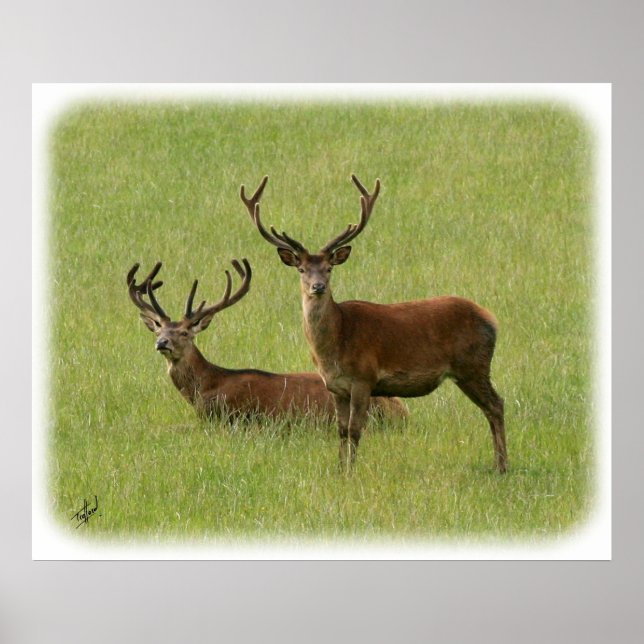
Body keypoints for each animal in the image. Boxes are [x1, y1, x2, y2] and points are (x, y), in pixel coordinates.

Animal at [240, 175, 507, 472]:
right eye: (302, 270)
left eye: (329, 268)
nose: (317, 287)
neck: (337, 341)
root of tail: (491, 319)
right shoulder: (335, 387)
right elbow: (341, 430)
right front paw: (340, 469)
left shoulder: (364, 378)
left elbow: (355, 430)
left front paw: (351, 472)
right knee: (491, 408)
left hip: (473, 365)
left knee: (496, 405)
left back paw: (501, 466)